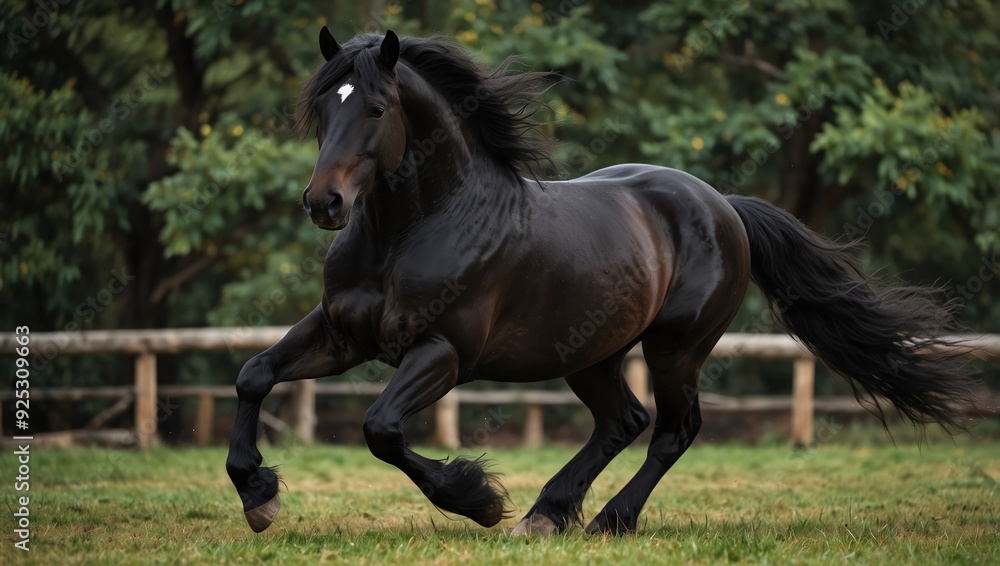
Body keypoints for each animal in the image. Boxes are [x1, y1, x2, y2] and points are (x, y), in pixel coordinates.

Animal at [226, 28, 975, 536]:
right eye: (325, 109)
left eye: (378, 109)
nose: (324, 203)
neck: (410, 230)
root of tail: (724, 206)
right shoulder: (341, 334)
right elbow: (254, 375)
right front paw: (258, 495)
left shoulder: (443, 352)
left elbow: (380, 428)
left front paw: (478, 499)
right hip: (591, 351)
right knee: (623, 421)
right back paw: (547, 514)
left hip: (676, 347)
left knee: (672, 430)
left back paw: (606, 519)